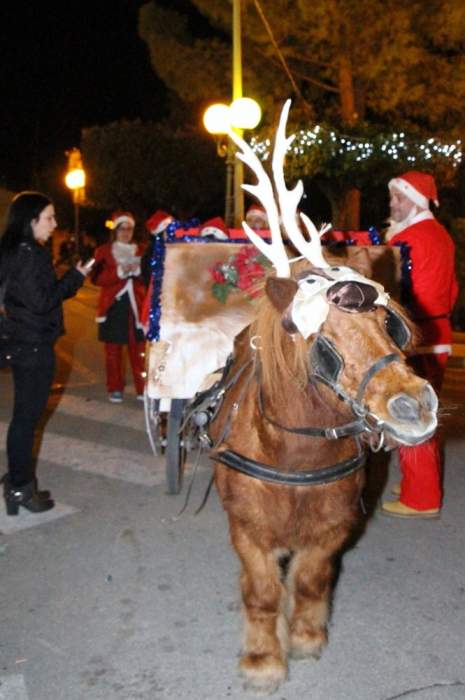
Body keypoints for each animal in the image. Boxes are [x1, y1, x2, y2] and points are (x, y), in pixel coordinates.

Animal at [205, 101, 436, 696]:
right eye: (319, 337)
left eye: (389, 323)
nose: (416, 405)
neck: (298, 455)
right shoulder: (248, 530)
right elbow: (262, 591)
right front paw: (263, 660)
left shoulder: (334, 526)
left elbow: (310, 580)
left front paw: (307, 637)